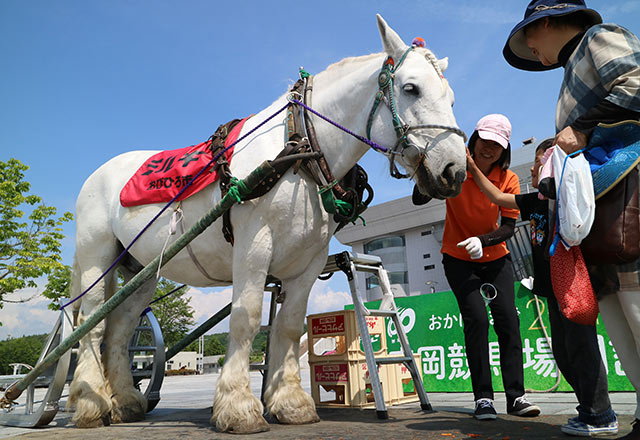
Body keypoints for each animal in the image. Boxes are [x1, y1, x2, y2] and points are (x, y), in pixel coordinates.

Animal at [68, 14, 467, 433]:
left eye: (451, 100)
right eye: (410, 89)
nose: (454, 172)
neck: (301, 145)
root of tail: (97, 174)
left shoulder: (309, 260)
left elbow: (289, 325)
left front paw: (290, 402)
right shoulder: (253, 244)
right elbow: (246, 318)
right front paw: (238, 407)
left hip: (142, 270)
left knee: (120, 325)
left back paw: (125, 401)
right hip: (97, 256)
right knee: (92, 323)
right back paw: (91, 403)